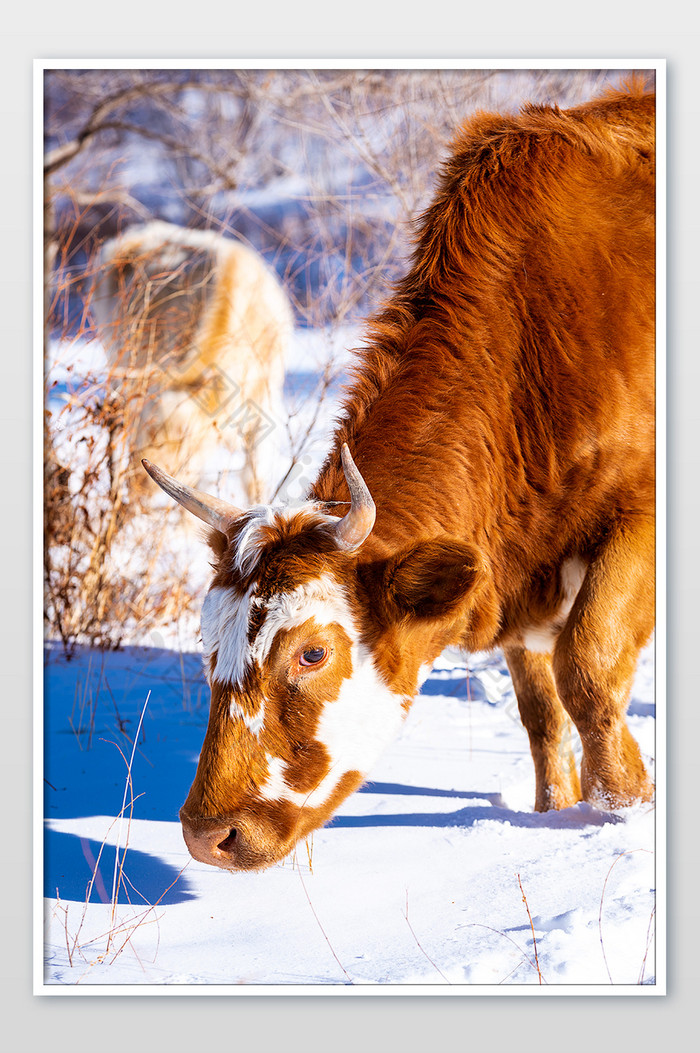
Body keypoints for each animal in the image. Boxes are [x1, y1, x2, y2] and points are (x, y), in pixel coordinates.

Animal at [142, 82, 656, 871]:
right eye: (207, 646)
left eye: (313, 651)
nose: (208, 834)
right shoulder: (514, 576)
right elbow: (541, 711)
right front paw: (558, 813)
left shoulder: (639, 523)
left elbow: (590, 666)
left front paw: (623, 811)